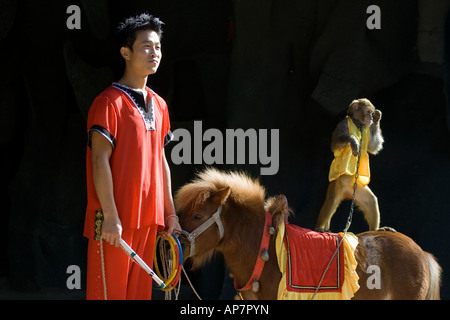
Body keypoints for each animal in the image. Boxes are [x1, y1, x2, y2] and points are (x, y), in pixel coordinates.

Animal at [314, 99, 384, 231]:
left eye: (371, 113)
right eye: (368, 112)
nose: (371, 118)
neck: (358, 124)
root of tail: (346, 193)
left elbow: (373, 147)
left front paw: (378, 118)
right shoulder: (342, 125)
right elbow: (335, 144)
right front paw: (353, 141)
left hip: (355, 188)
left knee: (370, 201)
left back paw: (375, 230)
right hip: (337, 184)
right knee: (331, 201)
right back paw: (319, 227)